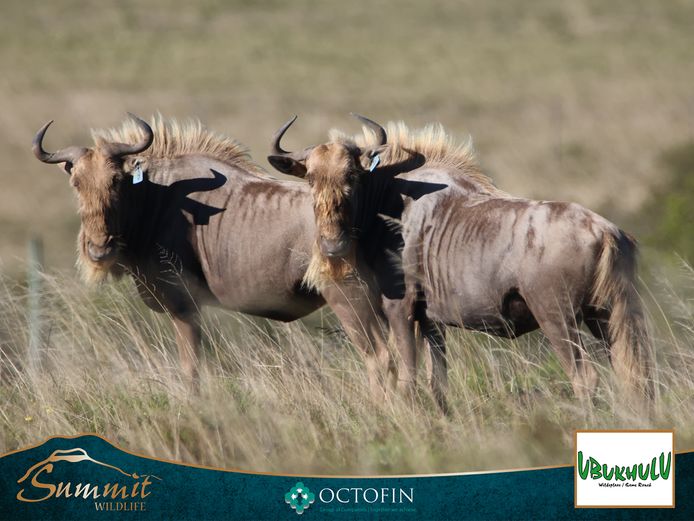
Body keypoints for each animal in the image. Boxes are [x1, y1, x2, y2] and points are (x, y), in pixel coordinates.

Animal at [267, 114, 654, 407]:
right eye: (311, 178)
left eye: (353, 176)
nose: (333, 245)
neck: (394, 200)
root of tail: (606, 231)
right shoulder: (430, 320)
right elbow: (437, 380)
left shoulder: (400, 309)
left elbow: (408, 378)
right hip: (608, 318)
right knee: (635, 375)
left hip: (558, 318)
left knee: (586, 377)